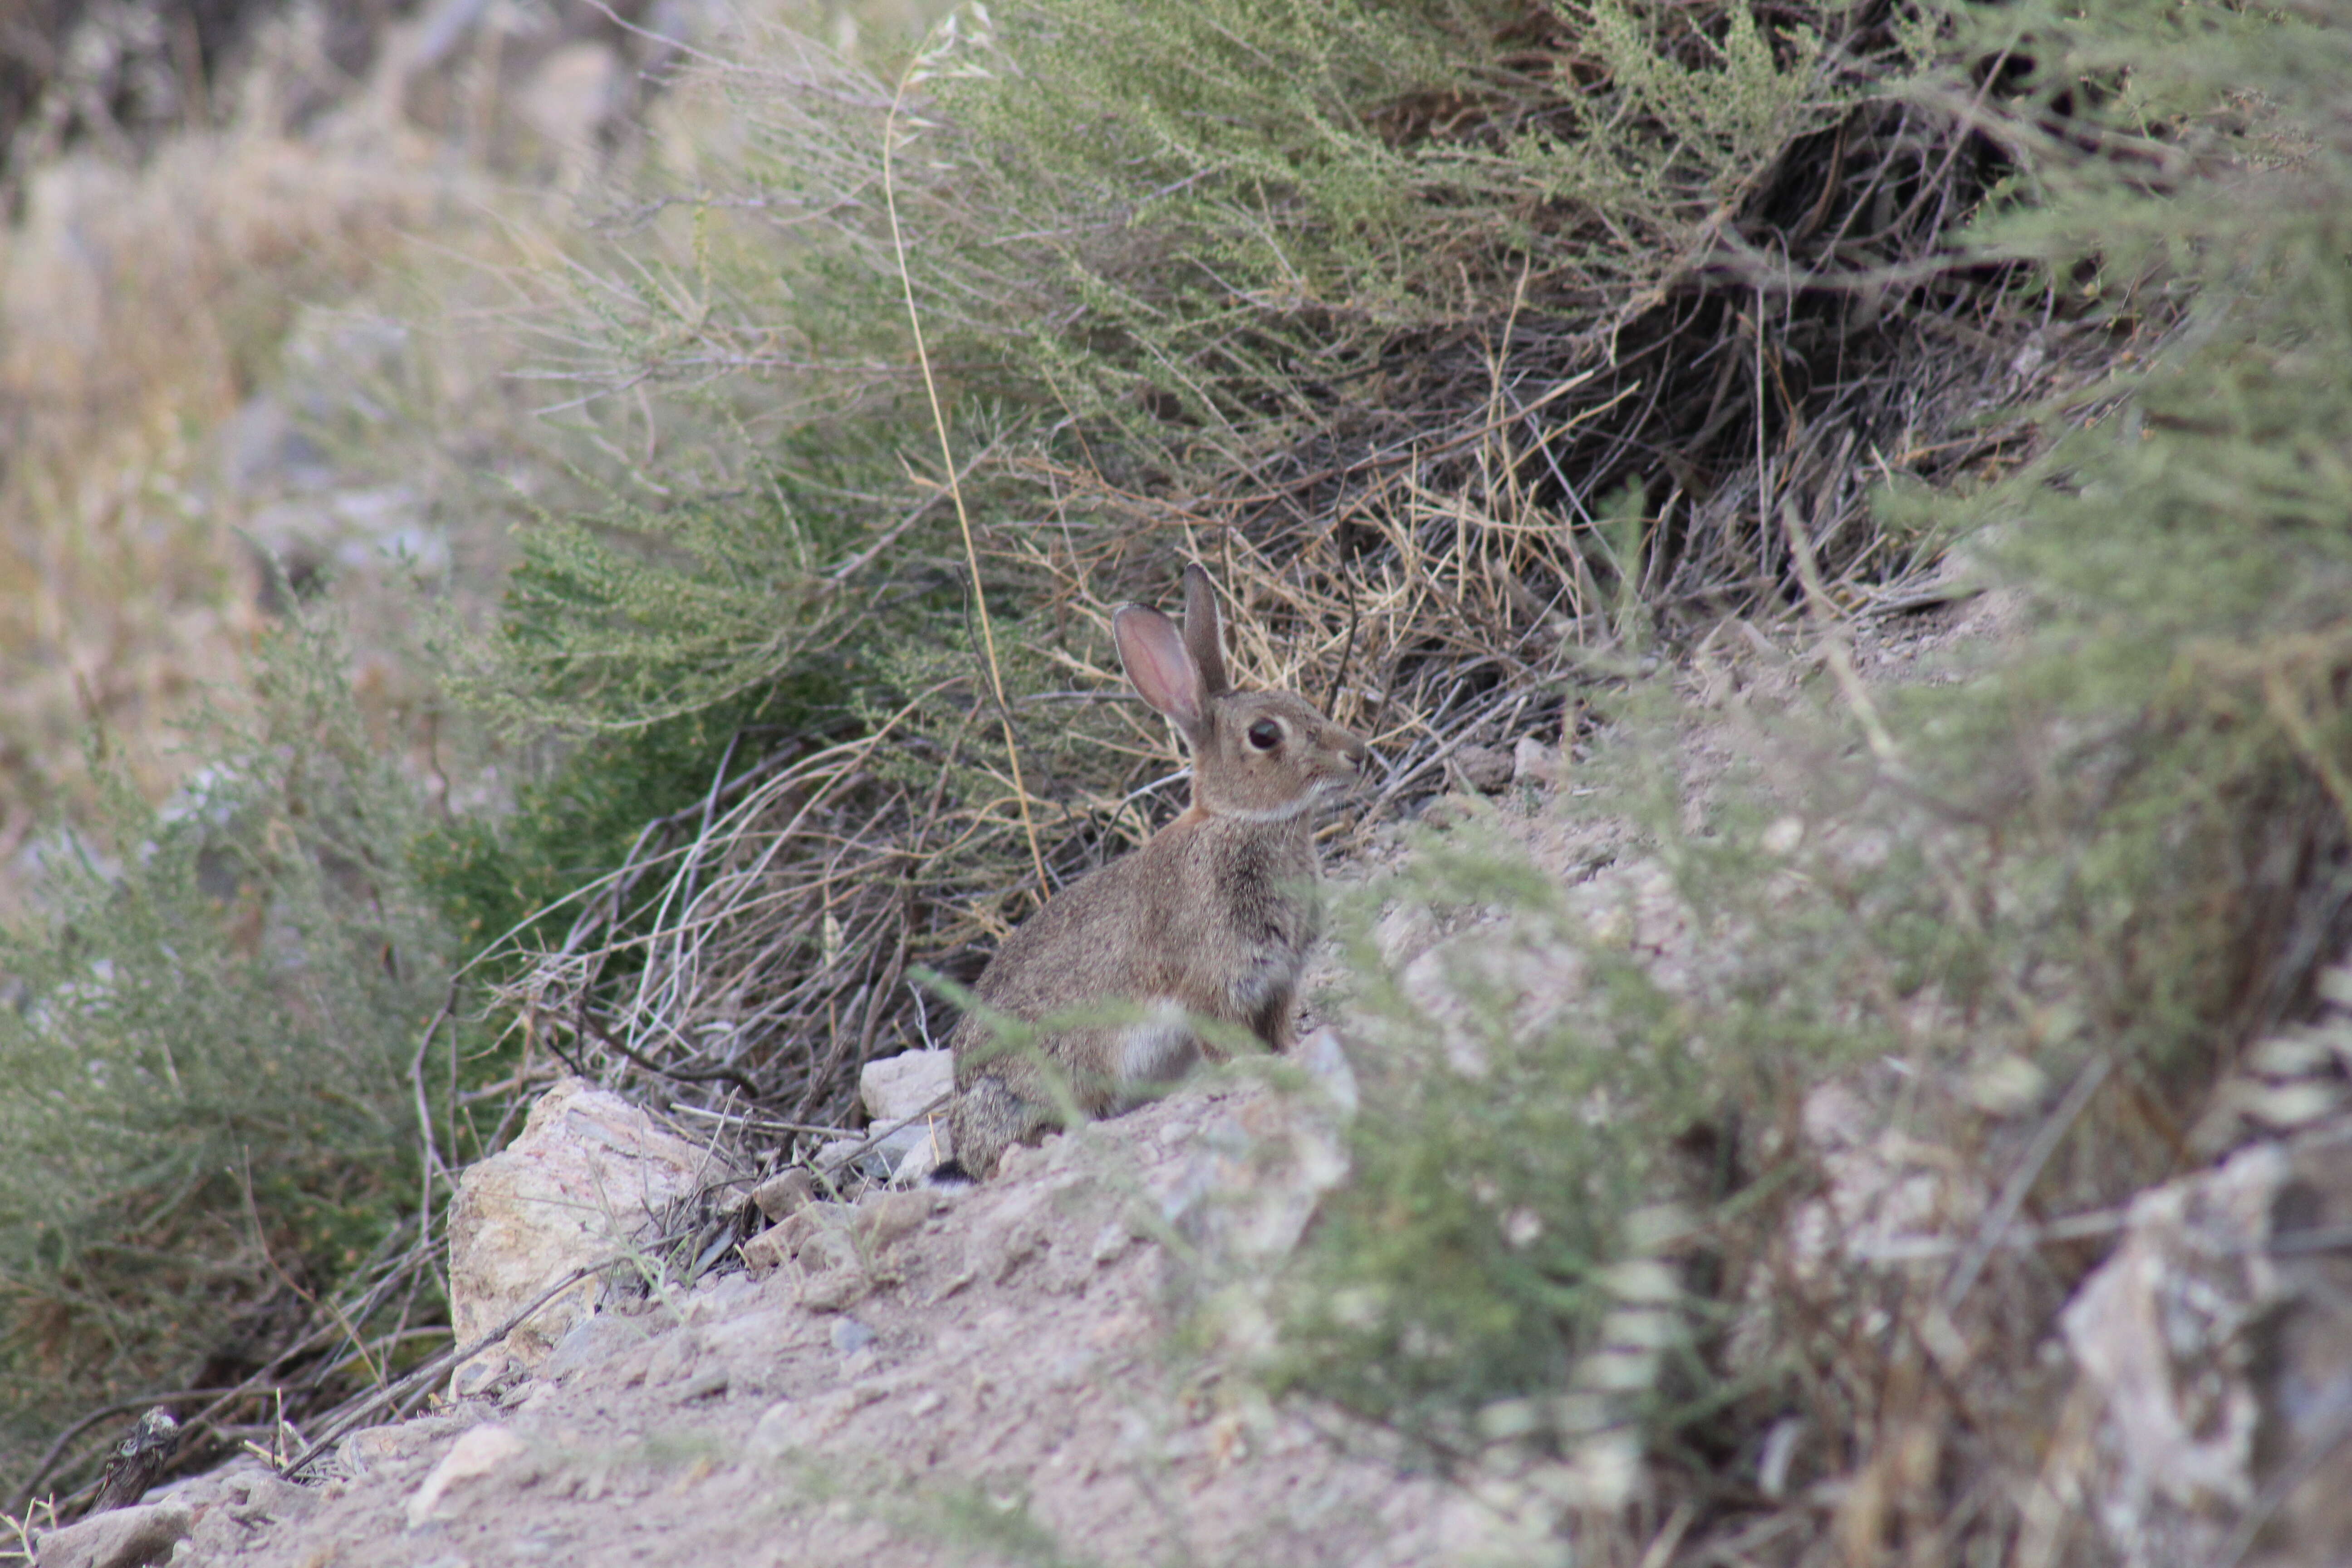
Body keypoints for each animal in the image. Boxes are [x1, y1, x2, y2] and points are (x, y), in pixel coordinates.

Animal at [936, 571, 1373, 1185]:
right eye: (1265, 734)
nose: (1357, 754)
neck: (1238, 822)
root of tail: (961, 1134)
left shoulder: (1278, 980)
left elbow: (1280, 1030)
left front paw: (1293, 1051)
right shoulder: (1214, 984)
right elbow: (1227, 1045)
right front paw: (1253, 1070)